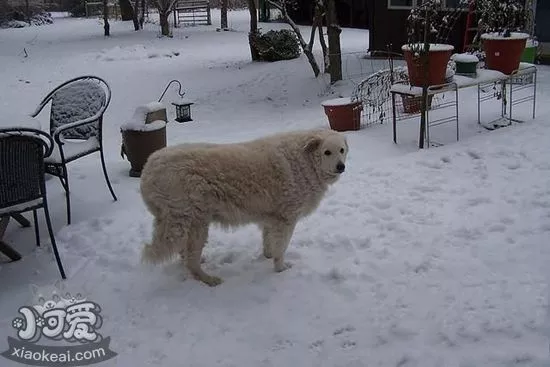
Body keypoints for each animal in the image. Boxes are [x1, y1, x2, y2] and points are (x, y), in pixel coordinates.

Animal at [141, 129, 350, 288]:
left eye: (341, 150)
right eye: (327, 152)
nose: (341, 167)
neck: (304, 162)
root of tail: (148, 170)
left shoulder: (271, 217)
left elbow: (269, 242)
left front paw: (267, 256)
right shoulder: (286, 219)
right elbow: (281, 248)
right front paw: (280, 269)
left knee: (184, 252)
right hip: (194, 222)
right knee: (190, 261)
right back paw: (209, 279)